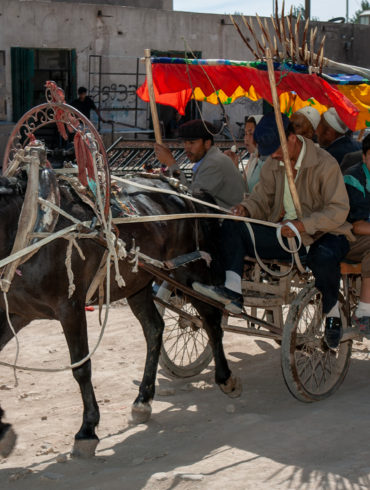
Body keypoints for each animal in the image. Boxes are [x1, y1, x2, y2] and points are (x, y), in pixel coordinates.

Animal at [0, 174, 241, 458]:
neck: (26, 226)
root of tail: (180, 189)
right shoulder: (17, 312)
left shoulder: (70, 308)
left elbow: (82, 368)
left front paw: (88, 430)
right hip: (138, 283)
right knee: (154, 328)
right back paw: (143, 400)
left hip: (187, 272)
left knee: (211, 319)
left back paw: (225, 377)